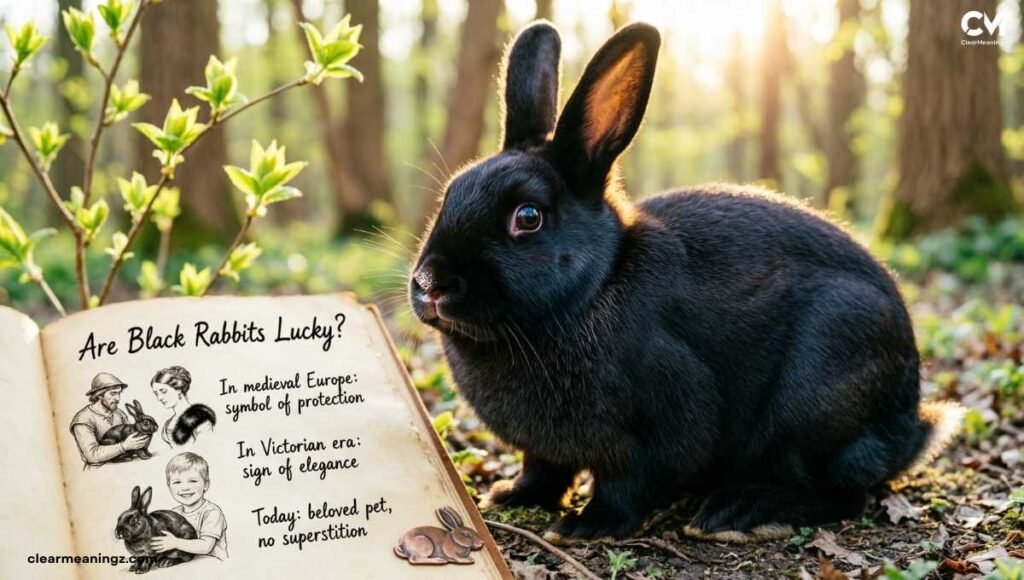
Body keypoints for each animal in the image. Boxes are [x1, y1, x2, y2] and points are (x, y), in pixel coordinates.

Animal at [408, 21, 964, 542]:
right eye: (450, 194)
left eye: (527, 217)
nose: (430, 282)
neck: (595, 286)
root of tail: (908, 424)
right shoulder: (547, 450)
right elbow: (544, 470)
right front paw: (512, 495)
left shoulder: (664, 422)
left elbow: (628, 482)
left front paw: (589, 524)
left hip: (818, 392)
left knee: (843, 492)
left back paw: (740, 509)